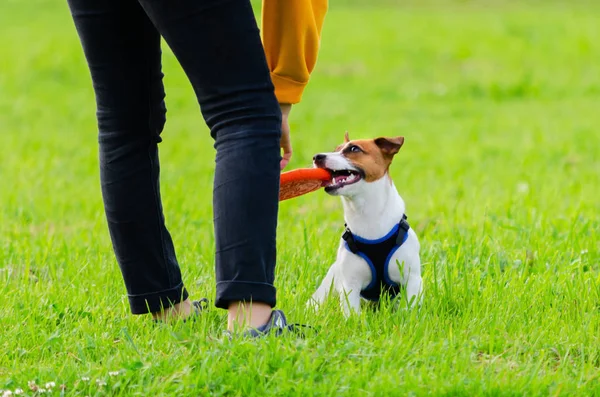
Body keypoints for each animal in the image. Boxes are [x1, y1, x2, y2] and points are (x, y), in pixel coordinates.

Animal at [310, 132, 422, 316]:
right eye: (335, 149)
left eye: (354, 149)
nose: (316, 157)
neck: (367, 215)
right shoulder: (350, 285)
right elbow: (352, 313)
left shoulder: (412, 279)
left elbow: (409, 308)